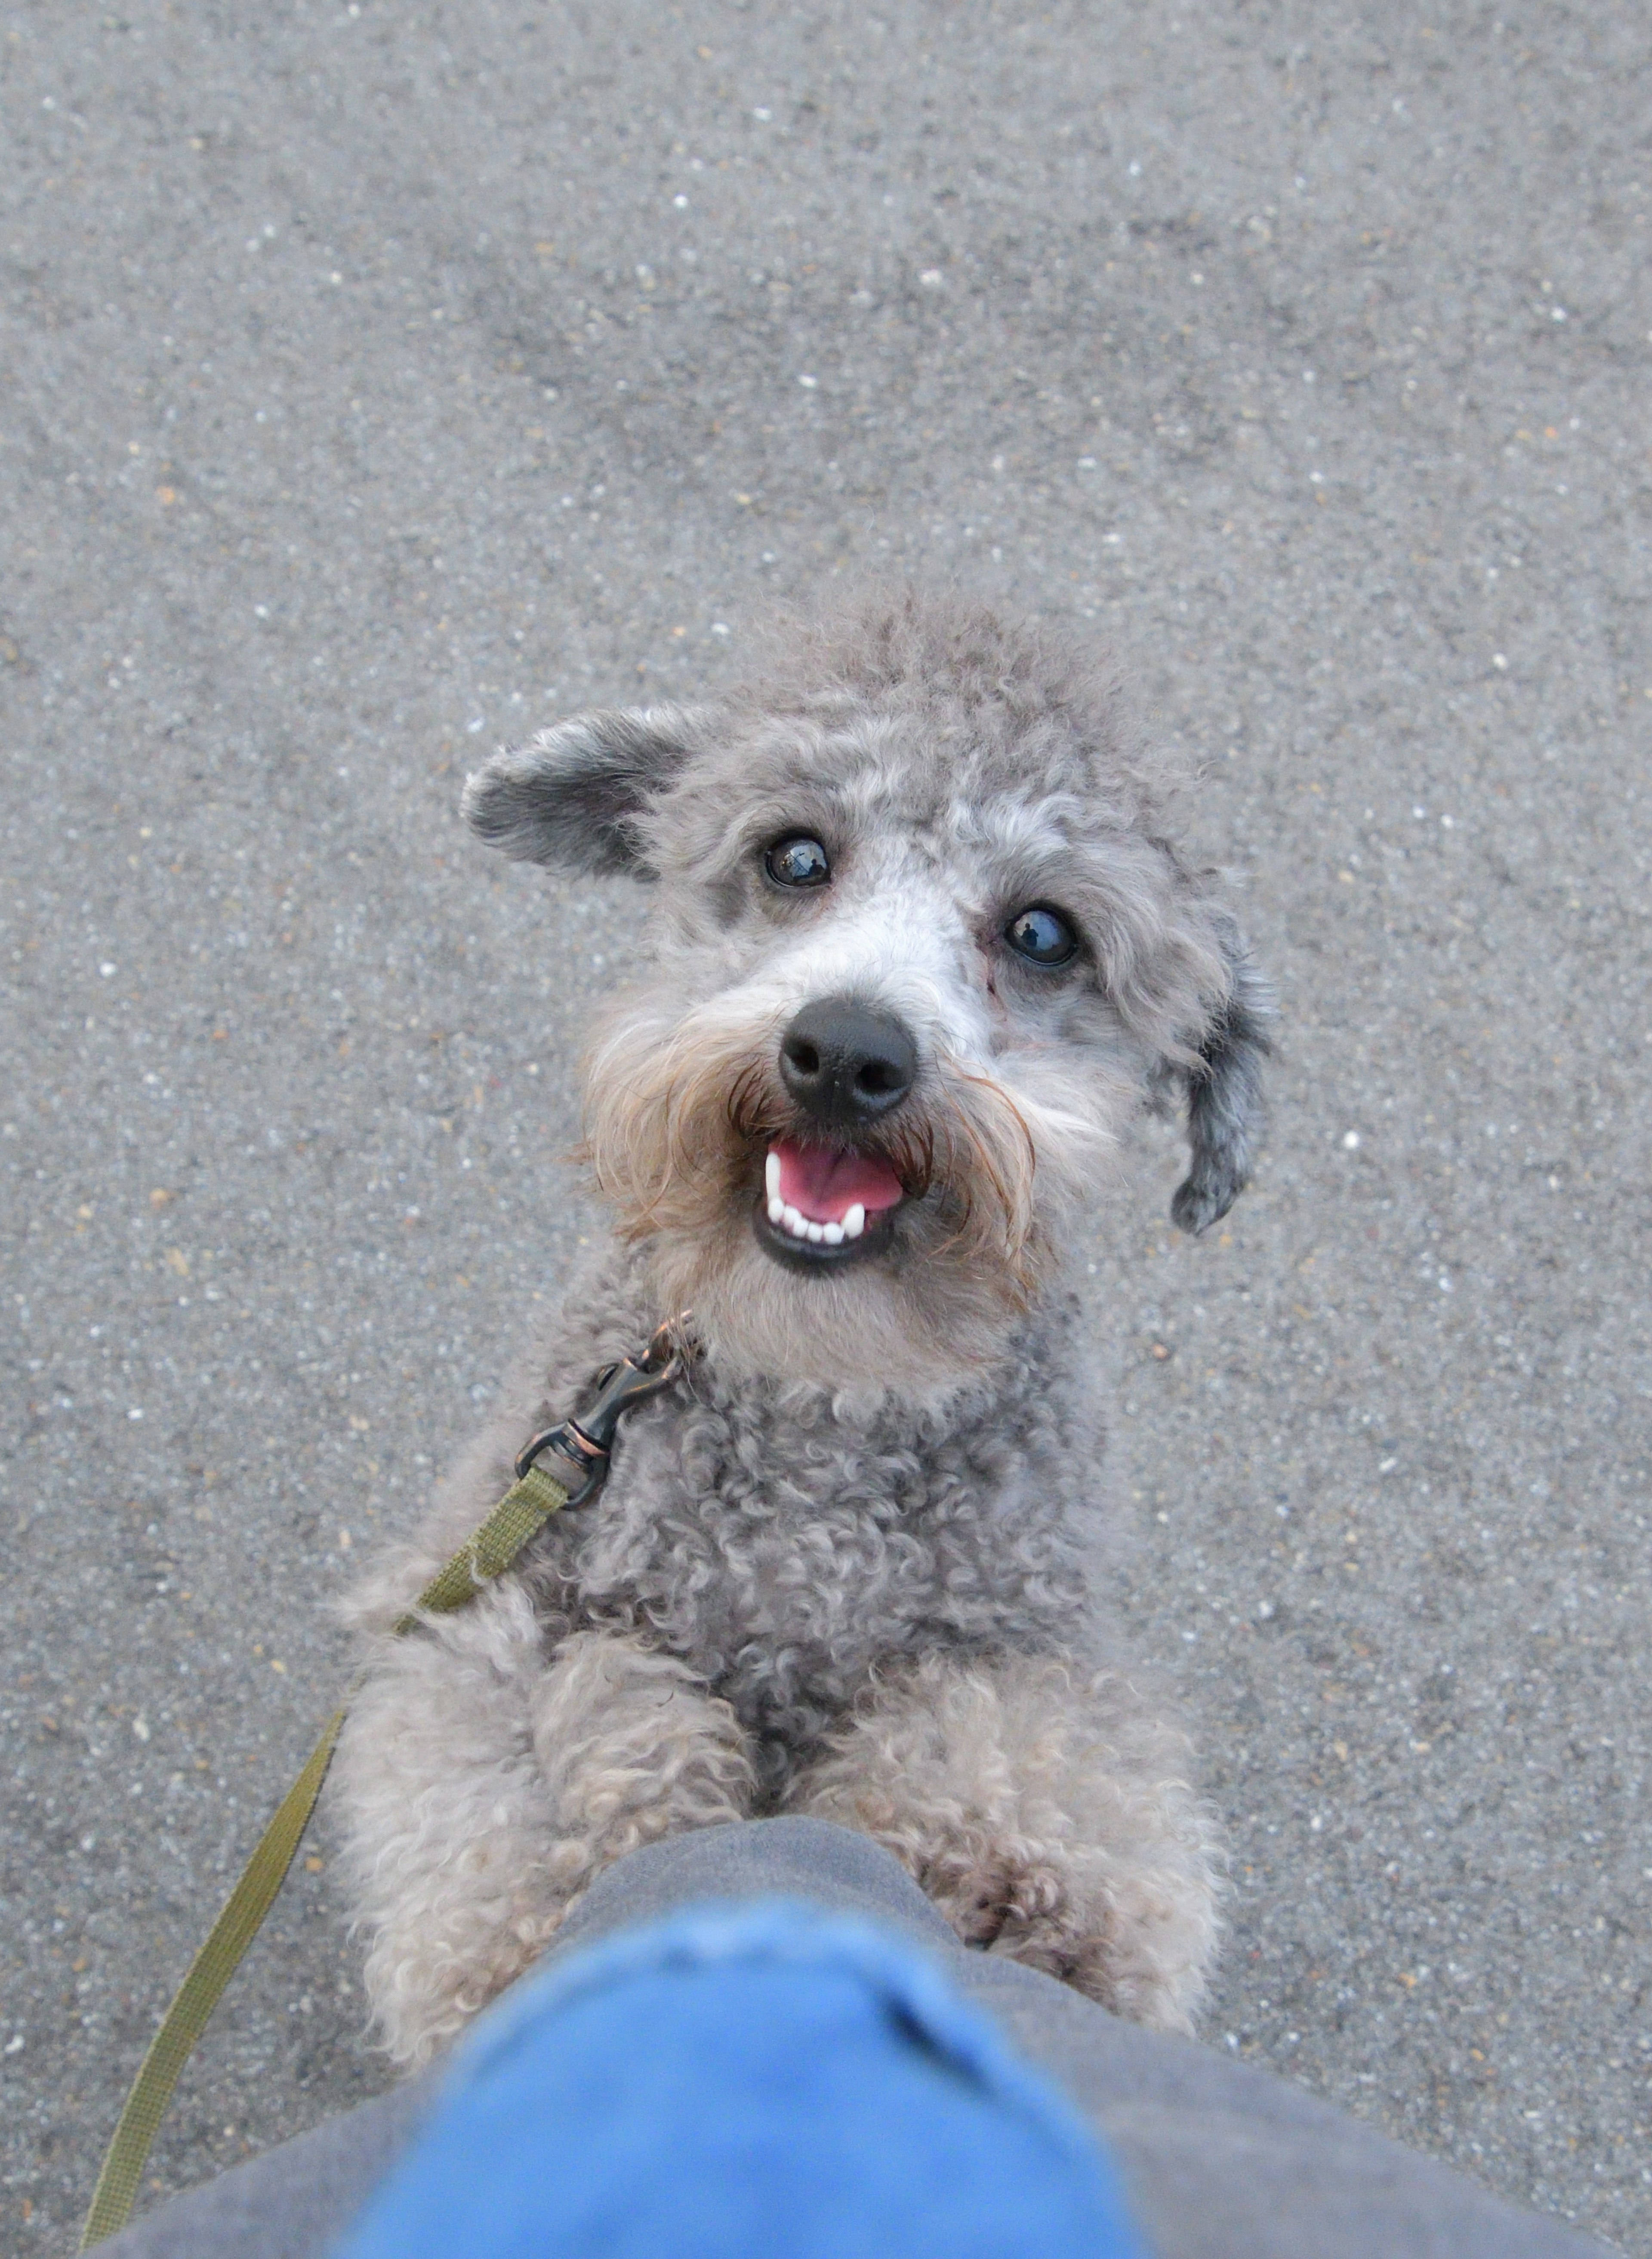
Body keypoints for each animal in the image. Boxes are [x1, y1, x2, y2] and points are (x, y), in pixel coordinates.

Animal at [332, 596, 1265, 2069]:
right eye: (795, 856)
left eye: (1043, 932)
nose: (846, 1051)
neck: (817, 1407)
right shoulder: (487, 1623)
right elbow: (557, 1773)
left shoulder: (1020, 1670)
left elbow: (1019, 1800)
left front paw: (1024, 1920)